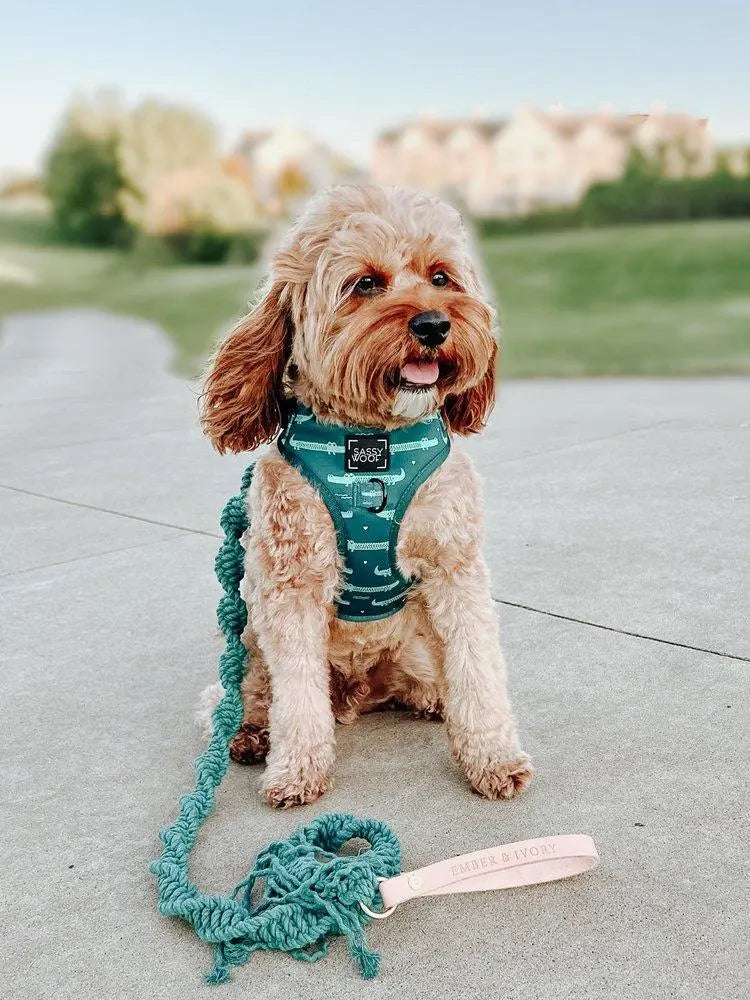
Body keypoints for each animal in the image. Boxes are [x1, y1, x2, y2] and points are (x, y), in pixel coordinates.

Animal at [197, 184, 532, 808]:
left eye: (441, 277)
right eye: (366, 284)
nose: (433, 324)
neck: (372, 443)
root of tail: (360, 690)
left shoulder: (453, 568)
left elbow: (477, 668)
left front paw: (492, 757)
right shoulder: (291, 587)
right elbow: (298, 696)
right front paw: (297, 770)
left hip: (414, 637)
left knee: (429, 675)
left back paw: (432, 696)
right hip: (248, 642)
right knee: (254, 696)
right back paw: (252, 734)